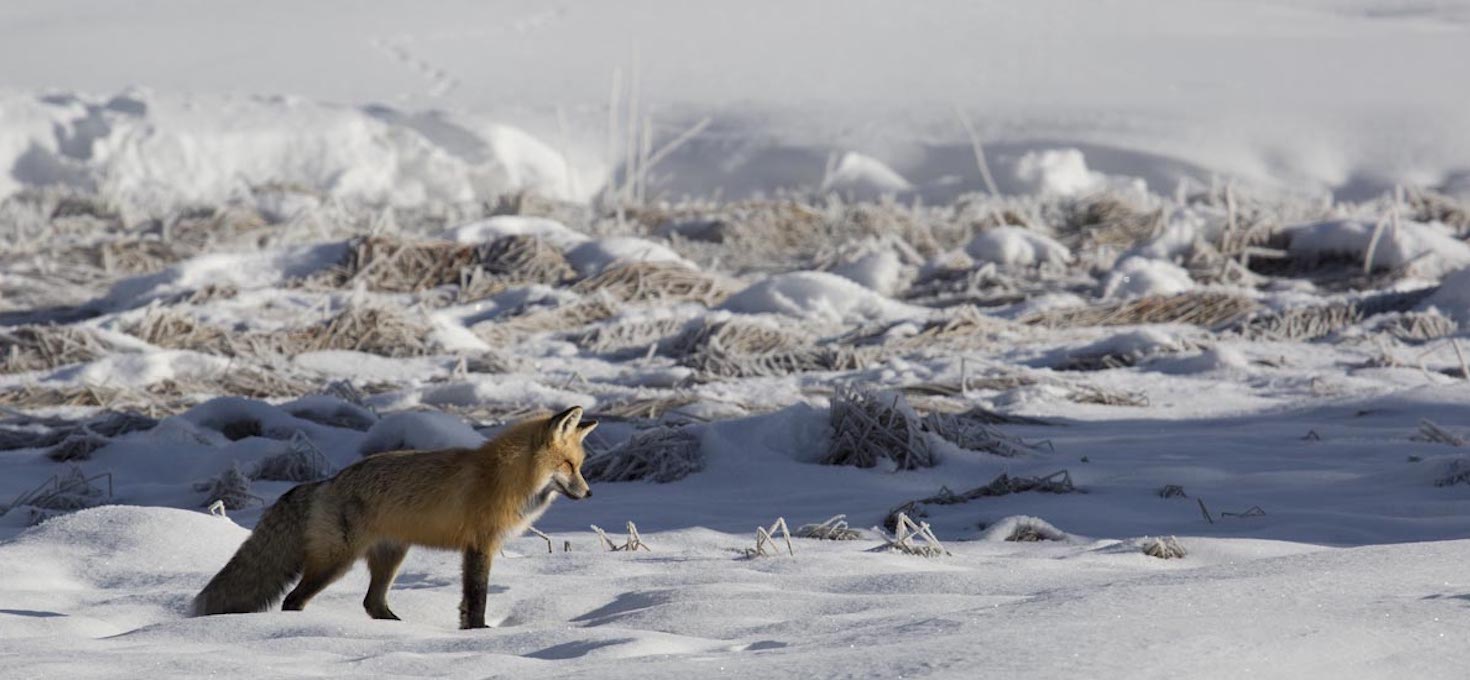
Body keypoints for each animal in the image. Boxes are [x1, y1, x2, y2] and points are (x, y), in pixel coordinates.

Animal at [194, 405, 596, 628]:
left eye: (579, 466)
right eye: (568, 465)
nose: (590, 494)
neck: (503, 478)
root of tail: (327, 481)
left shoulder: (476, 548)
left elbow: (468, 601)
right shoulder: (480, 545)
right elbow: (477, 598)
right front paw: (479, 633)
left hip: (391, 557)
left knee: (372, 603)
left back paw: (396, 630)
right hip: (336, 562)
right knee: (294, 599)